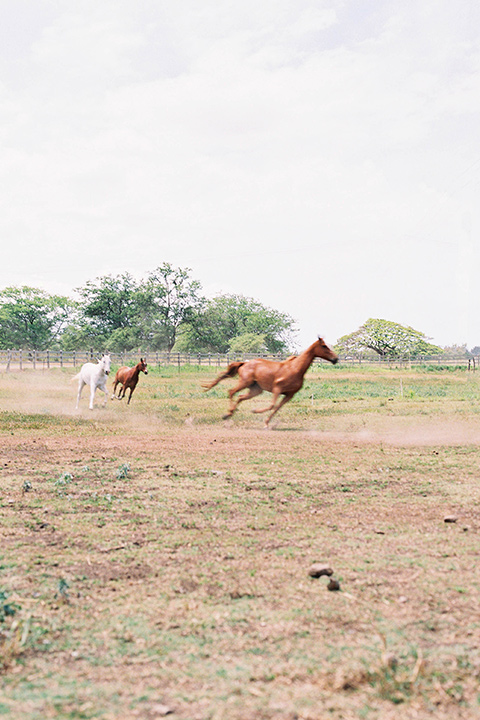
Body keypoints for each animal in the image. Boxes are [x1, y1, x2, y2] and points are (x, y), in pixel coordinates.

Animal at [202, 338, 338, 428]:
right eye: (324, 346)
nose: (335, 359)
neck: (295, 368)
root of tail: (244, 363)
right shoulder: (277, 389)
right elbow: (272, 405)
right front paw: (256, 412)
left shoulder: (289, 395)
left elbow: (276, 408)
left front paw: (266, 422)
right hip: (244, 383)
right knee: (231, 392)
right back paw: (227, 415)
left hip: (255, 390)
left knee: (240, 397)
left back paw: (230, 414)